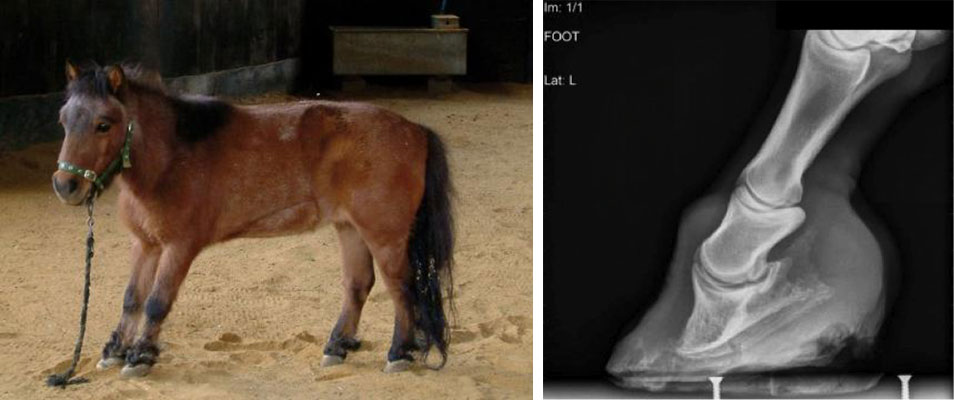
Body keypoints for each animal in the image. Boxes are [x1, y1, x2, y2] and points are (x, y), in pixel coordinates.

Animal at [51, 61, 455, 377]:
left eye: (104, 124)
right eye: (64, 120)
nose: (65, 185)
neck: (173, 157)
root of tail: (415, 130)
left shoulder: (179, 248)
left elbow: (156, 301)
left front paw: (140, 357)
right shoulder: (146, 245)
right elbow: (132, 299)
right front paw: (114, 351)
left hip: (384, 236)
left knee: (402, 287)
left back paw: (398, 353)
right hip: (350, 228)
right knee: (359, 284)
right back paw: (337, 347)